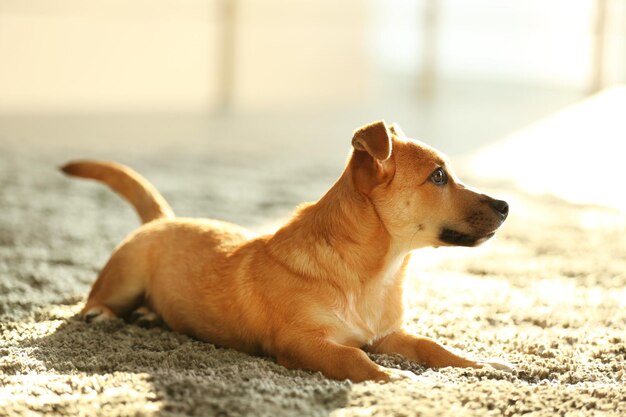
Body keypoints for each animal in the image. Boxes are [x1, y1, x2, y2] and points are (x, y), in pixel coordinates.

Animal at [62, 120, 512, 380]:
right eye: (438, 177)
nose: (506, 206)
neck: (376, 274)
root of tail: (160, 219)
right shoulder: (303, 344)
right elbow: (354, 359)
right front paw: (399, 378)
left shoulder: (387, 335)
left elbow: (432, 346)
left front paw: (484, 363)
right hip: (125, 278)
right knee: (97, 298)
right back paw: (103, 314)